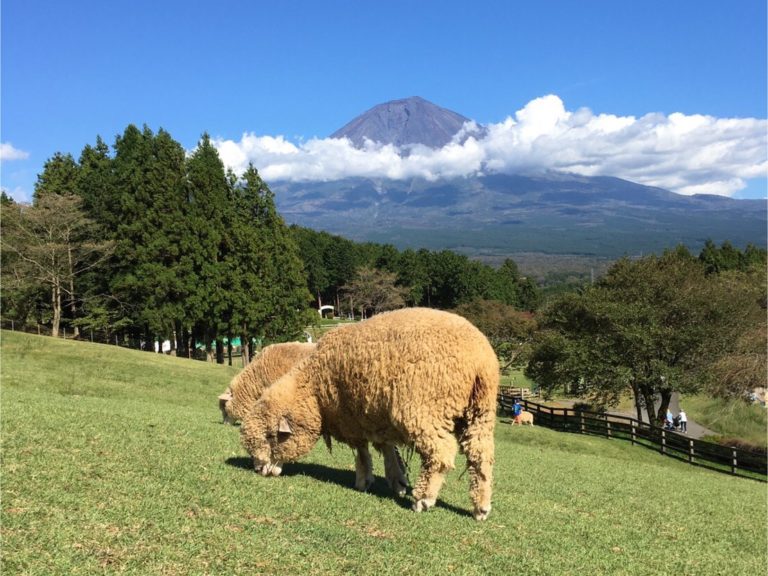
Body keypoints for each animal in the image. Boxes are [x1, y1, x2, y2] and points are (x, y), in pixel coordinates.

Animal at [242, 308, 504, 520]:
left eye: (270, 437)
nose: (259, 470)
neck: (313, 388)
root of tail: (479, 359)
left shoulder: (351, 418)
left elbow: (362, 452)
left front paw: (363, 480)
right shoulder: (376, 416)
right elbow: (387, 448)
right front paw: (398, 480)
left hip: (423, 409)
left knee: (441, 453)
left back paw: (424, 498)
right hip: (480, 411)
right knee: (482, 455)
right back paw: (481, 507)